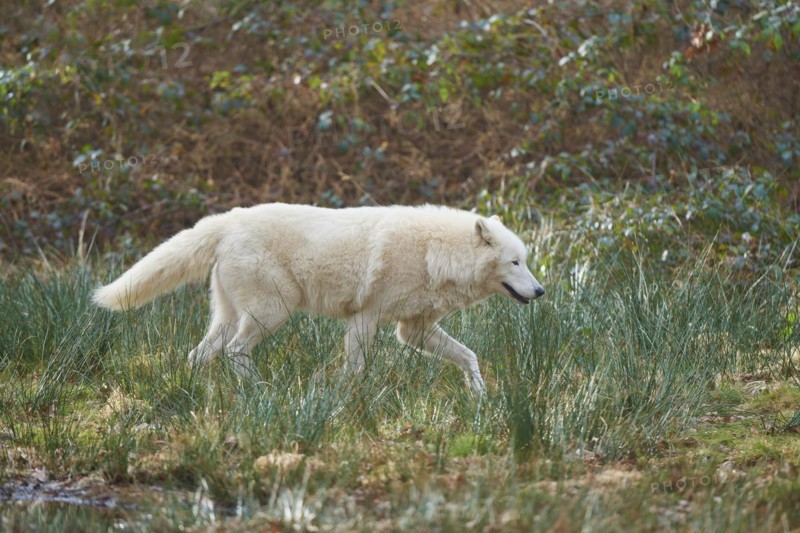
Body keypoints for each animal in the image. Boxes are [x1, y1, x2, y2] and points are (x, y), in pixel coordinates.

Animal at [93, 204, 544, 393]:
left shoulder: (413, 330)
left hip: (229, 317)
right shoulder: (365, 318)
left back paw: (196, 392)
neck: (435, 252)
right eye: (516, 262)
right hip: (272, 313)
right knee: (236, 352)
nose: (540, 291)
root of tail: (226, 221)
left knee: (197, 355)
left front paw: (479, 395)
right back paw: (263, 390)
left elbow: (468, 356)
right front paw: (337, 395)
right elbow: (356, 369)